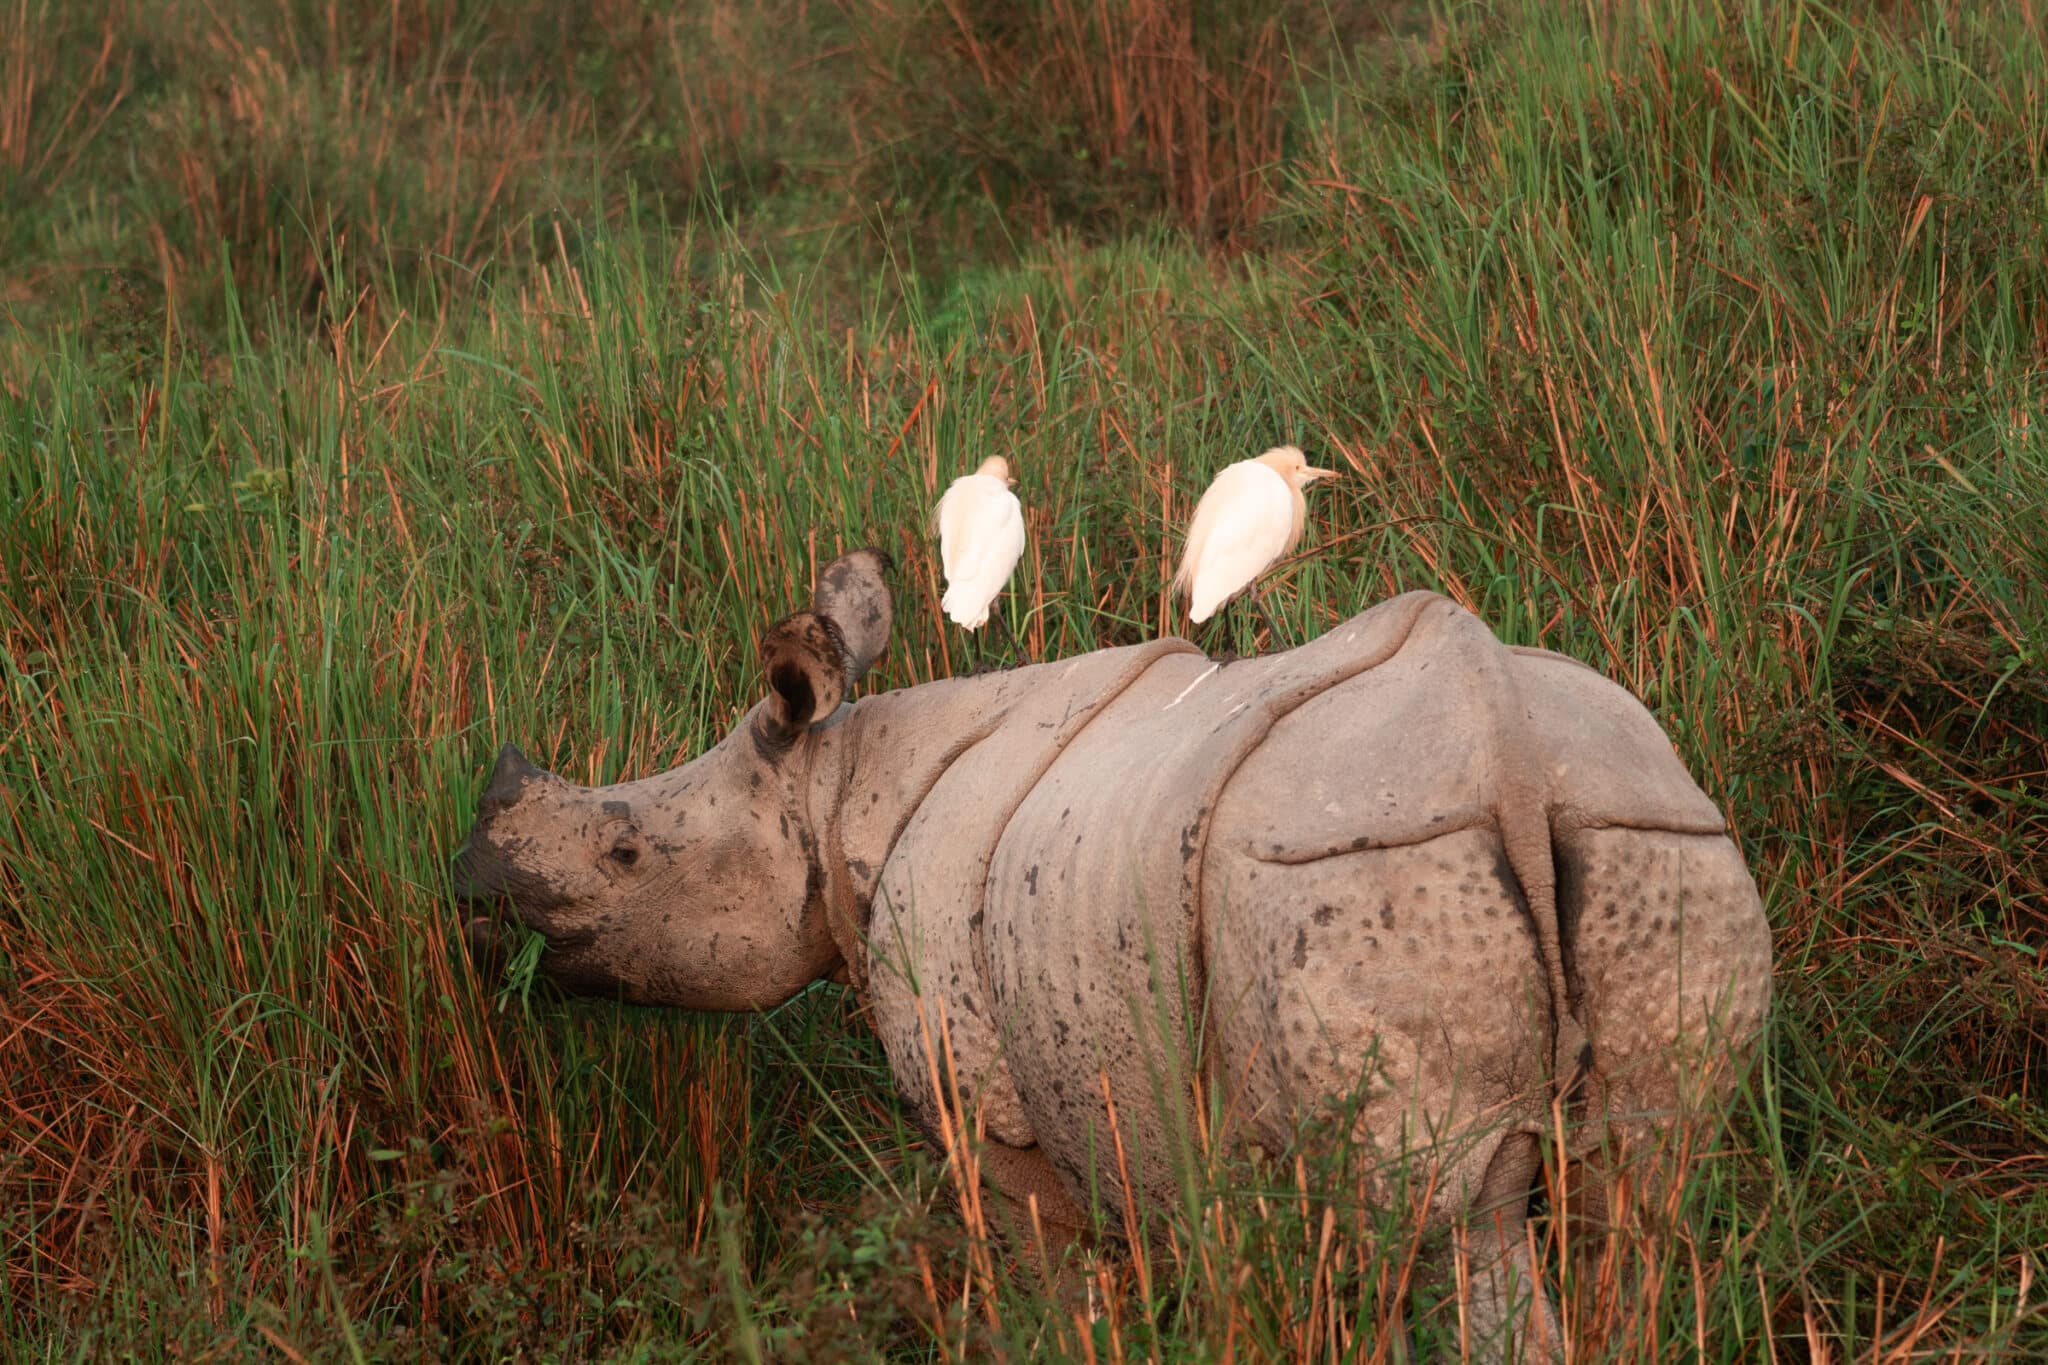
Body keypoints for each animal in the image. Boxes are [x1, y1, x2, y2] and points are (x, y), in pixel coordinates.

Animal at [453, 549, 1773, 1360]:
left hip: (1356, 867)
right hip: (1652, 836)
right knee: (1640, 1200)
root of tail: (1505, 750)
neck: (834, 789)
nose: (468, 891)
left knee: (1443, 1230)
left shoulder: (994, 1117)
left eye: (624, 855)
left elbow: (1060, 1293)